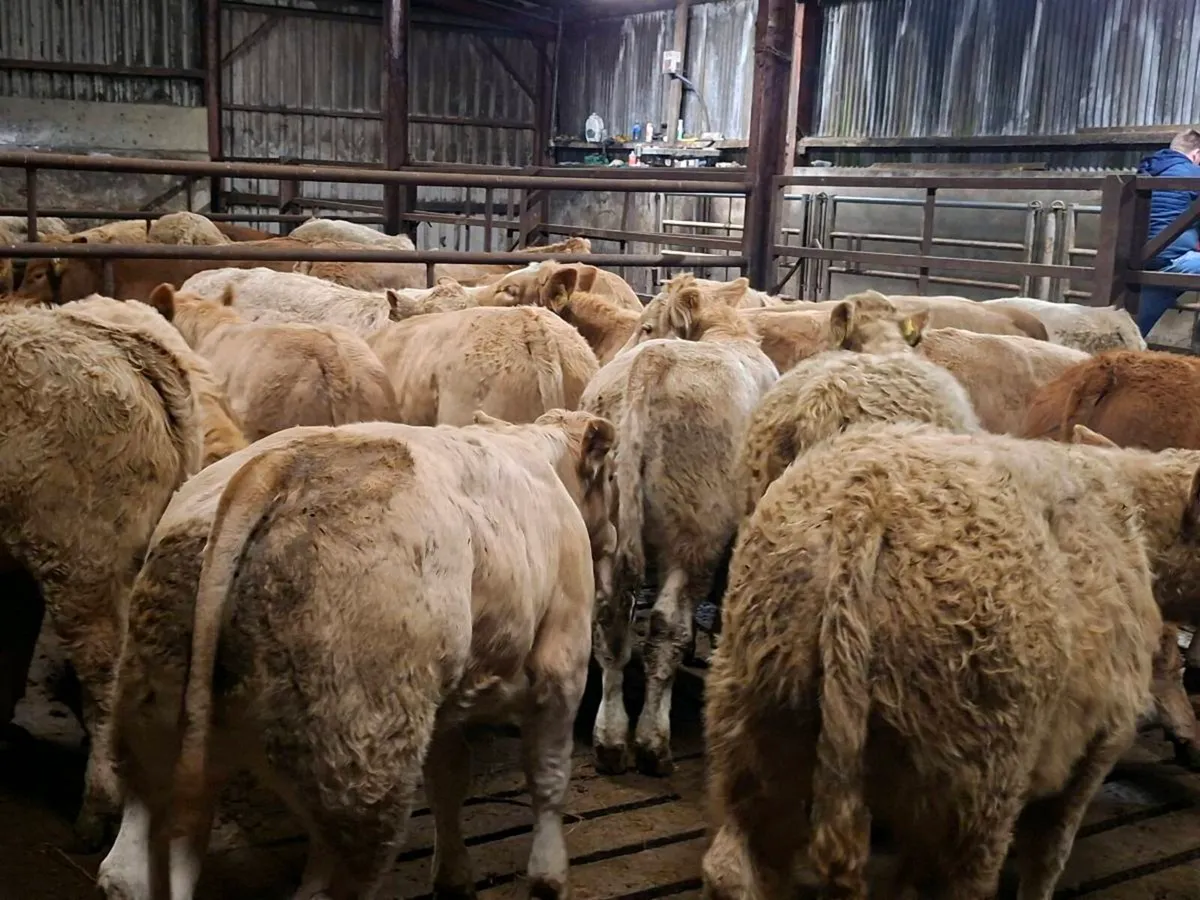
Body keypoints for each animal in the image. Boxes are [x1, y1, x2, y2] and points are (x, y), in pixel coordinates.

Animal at [96, 410, 614, 900]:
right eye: (610, 477)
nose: (610, 535)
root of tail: (274, 468)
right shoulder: (563, 660)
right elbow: (548, 776)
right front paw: (549, 877)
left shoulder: (445, 701)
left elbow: (448, 778)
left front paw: (453, 876)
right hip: (362, 770)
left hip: (154, 725)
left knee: (129, 868)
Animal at [584, 275, 778, 776]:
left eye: (647, 325)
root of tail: (650, 366)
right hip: (694, 538)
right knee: (666, 626)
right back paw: (653, 742)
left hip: (606, 533)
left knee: (610, 621)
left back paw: (610, 740)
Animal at [702, 422, 1198, 900]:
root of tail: (864, 502)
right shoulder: (1098, 745)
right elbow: (1048, 857)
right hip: (975, 779)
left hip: (759, 725)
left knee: (736, 868)